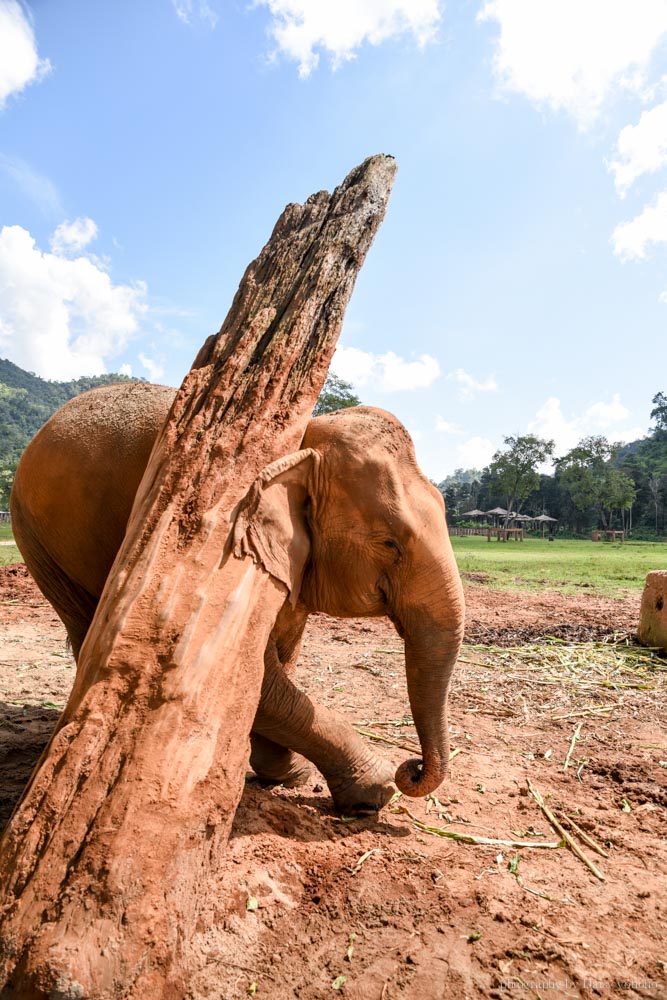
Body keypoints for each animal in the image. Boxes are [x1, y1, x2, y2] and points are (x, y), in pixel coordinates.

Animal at [10, 380, 468, 812]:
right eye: (389, 543)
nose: (412, 767)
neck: (304, 438)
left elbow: (277, 661)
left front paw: (286, 775)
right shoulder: (216, 534)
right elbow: (243, 666)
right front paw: (372, 791)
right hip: (37, 539)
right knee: (85, 625)